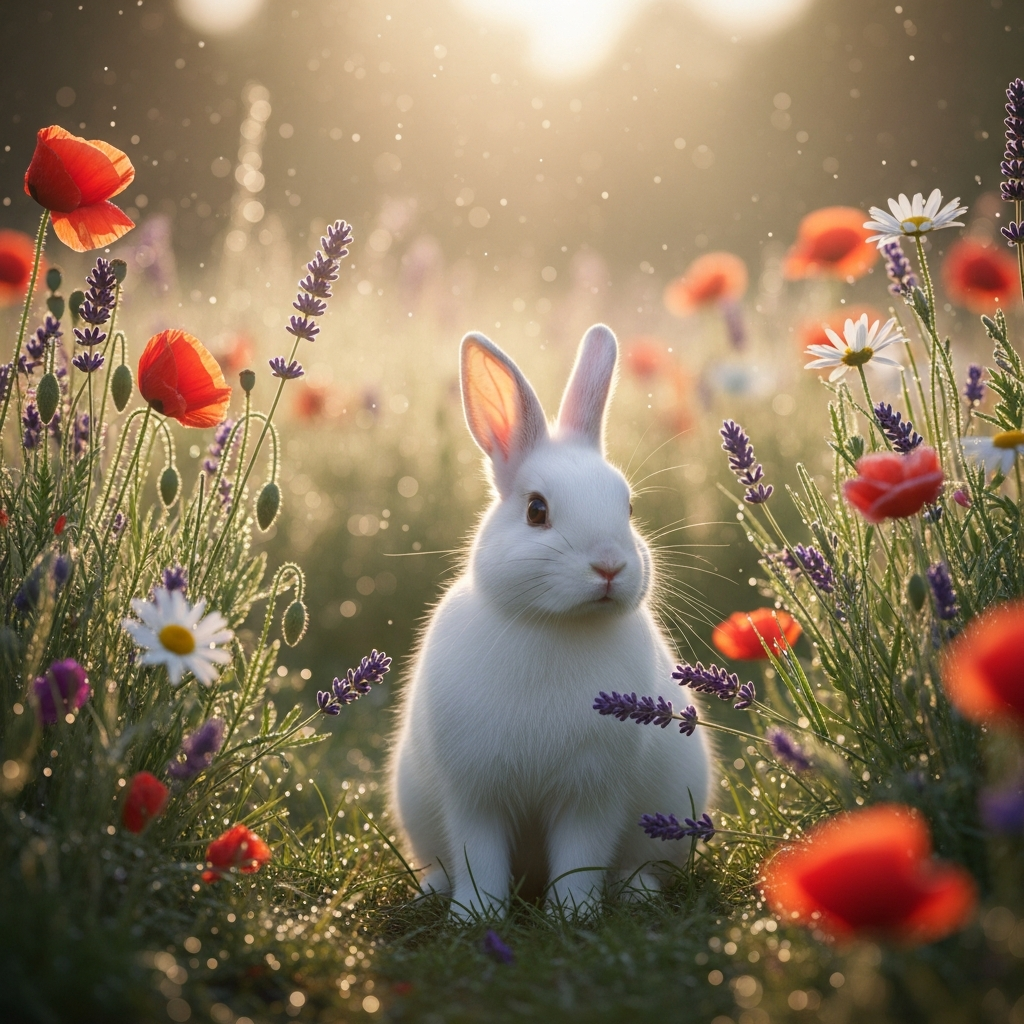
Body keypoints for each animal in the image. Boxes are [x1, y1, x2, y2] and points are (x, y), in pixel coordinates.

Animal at [388, 324, 712, 918]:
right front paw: (476, 916)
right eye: (536, 510)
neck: (555, 625)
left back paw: (636, 893)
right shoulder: (476, 794)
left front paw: (573, 913)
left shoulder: (592, 794)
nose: (609, 565)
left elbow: (581, 856)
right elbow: (479, 858)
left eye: (629, 508)